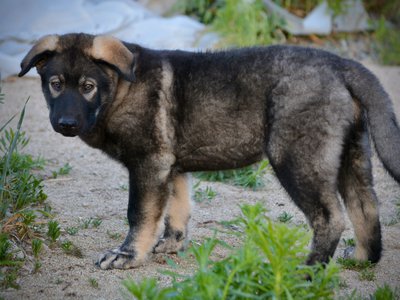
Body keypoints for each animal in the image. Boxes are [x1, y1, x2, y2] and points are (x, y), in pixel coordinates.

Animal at [18, 32, 400, 270]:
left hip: (296, 156)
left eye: (88, 87)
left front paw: (127, 256)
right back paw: (362, 259)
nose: (66, 123)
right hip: (351, 153)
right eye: (55, 84)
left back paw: (307, 273)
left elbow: (139, 214)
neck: (121, 89)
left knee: (330, 217)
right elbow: (176, 210)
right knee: (365, 205)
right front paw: (170, 245)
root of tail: (342, 65)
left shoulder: (148, 164)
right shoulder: (170, 167)